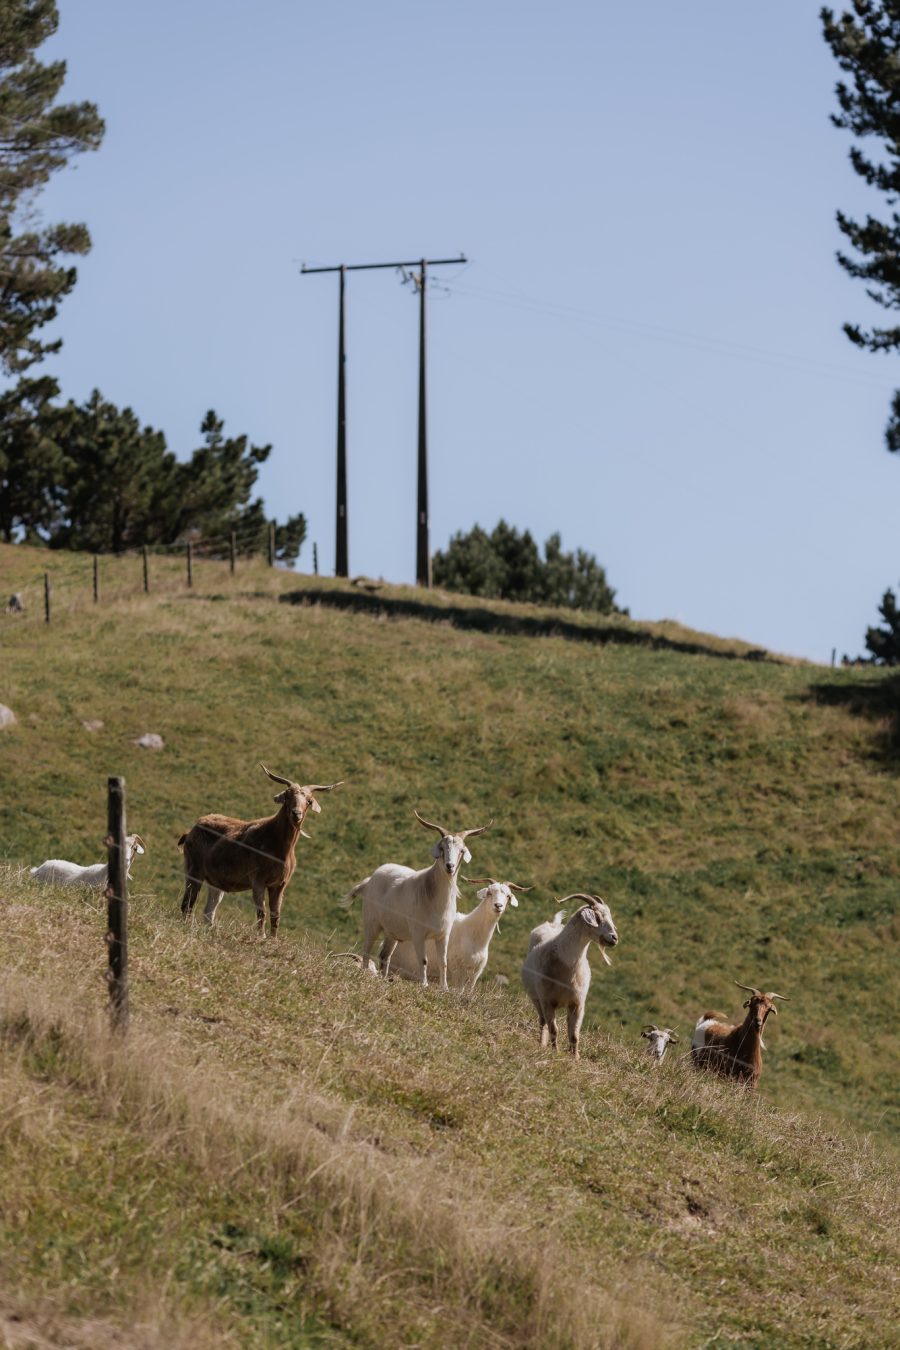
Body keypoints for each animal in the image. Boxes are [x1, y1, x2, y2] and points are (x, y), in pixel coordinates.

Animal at [178, 766, 342, 934]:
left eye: (308, 801)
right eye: (287, 796)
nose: (296, 813)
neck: (279, 849)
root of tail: (190, 832)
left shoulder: (280, 885)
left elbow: (276, 916)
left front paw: (272, 938)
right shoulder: (258, 880)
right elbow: (261, 912)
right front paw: (260, 936)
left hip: (215, 882)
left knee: (208, 911)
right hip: (194, 870)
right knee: (187, 904)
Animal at [340, 810, 493, 993]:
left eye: (462, 850)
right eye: (442, 848)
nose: (450, 866)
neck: (433, 897)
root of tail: (370, 880)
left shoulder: (443, 934)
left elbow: (443, 962)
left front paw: (445, 988)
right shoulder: (418, 932)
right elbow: (424, 960)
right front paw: (425, 984)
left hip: (393, 932)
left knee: (384, 955)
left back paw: (383, 979)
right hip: (372, 923)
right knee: (367, 949)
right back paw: (365, 973)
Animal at [520, 896, 620, 1063]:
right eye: (598, 917)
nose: (614, 938)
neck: (567, 964)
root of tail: (553, 924)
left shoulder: (577, 1003)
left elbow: (574, 1034)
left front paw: (576, 1058)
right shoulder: (547, 1001)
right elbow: (554, 1029)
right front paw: (555, 1051)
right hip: (536, 998)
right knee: (543, 1022)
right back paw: (542, 1043)